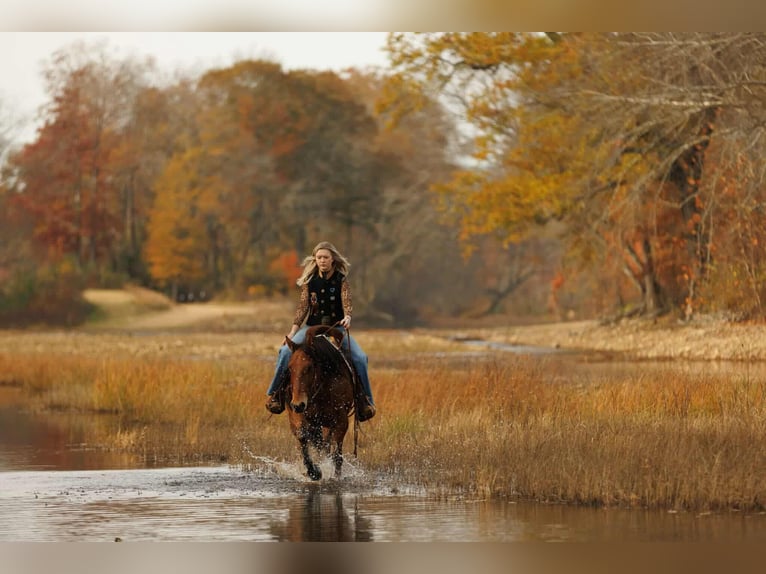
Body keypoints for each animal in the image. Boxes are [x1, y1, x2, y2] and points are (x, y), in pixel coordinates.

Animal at [284, 325, 355, 480]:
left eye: (310, 367)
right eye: (290, 367)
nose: (298, 404)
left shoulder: (341, 422)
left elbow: (337, 456)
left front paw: (335, 477)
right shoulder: (299, 416)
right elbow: (304, 439)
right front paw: (314, 472)